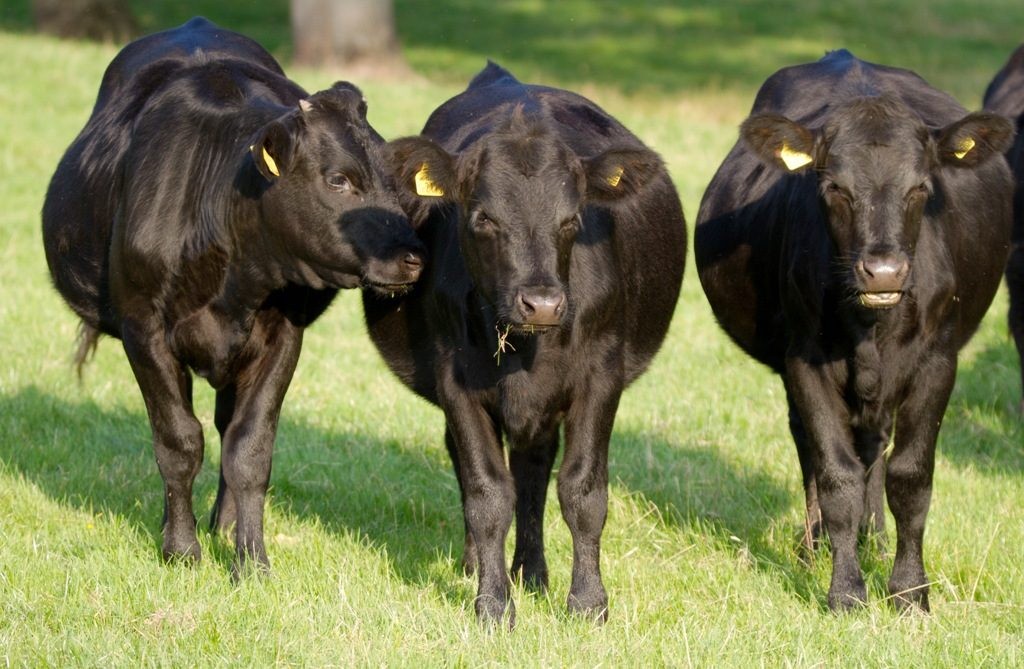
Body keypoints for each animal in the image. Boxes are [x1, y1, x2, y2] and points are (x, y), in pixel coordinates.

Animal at [43, 19, 423, 573]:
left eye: (395, 178)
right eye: (338, 179)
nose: (413, 256)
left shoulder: (282, 335)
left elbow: (249, 448)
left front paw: (250, 560)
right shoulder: (143, 328)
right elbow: (177, 440)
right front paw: (181, 550)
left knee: (225, 426)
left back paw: (221, 525)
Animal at [362, 59, 688, 622]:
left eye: (572, 219)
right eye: (484, 218)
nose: (542, 304)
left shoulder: (601, 376)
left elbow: (582, 491)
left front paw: (588, 602)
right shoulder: (456, 382)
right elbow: (487, 493)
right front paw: (493, 604)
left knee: (533, 474)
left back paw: (532, 572)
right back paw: (481, 565)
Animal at [692, 48, 1011, 610]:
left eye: (921, 187)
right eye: (835, 188)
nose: (883, 271)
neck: (871, 325)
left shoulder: (938, 362)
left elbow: (911, 477)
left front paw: (909, 591)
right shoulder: (804, 361)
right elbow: (836, 475)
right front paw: (844, 590)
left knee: (875, 449)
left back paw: (873, 539)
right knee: (813, 449)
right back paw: (815, 545)